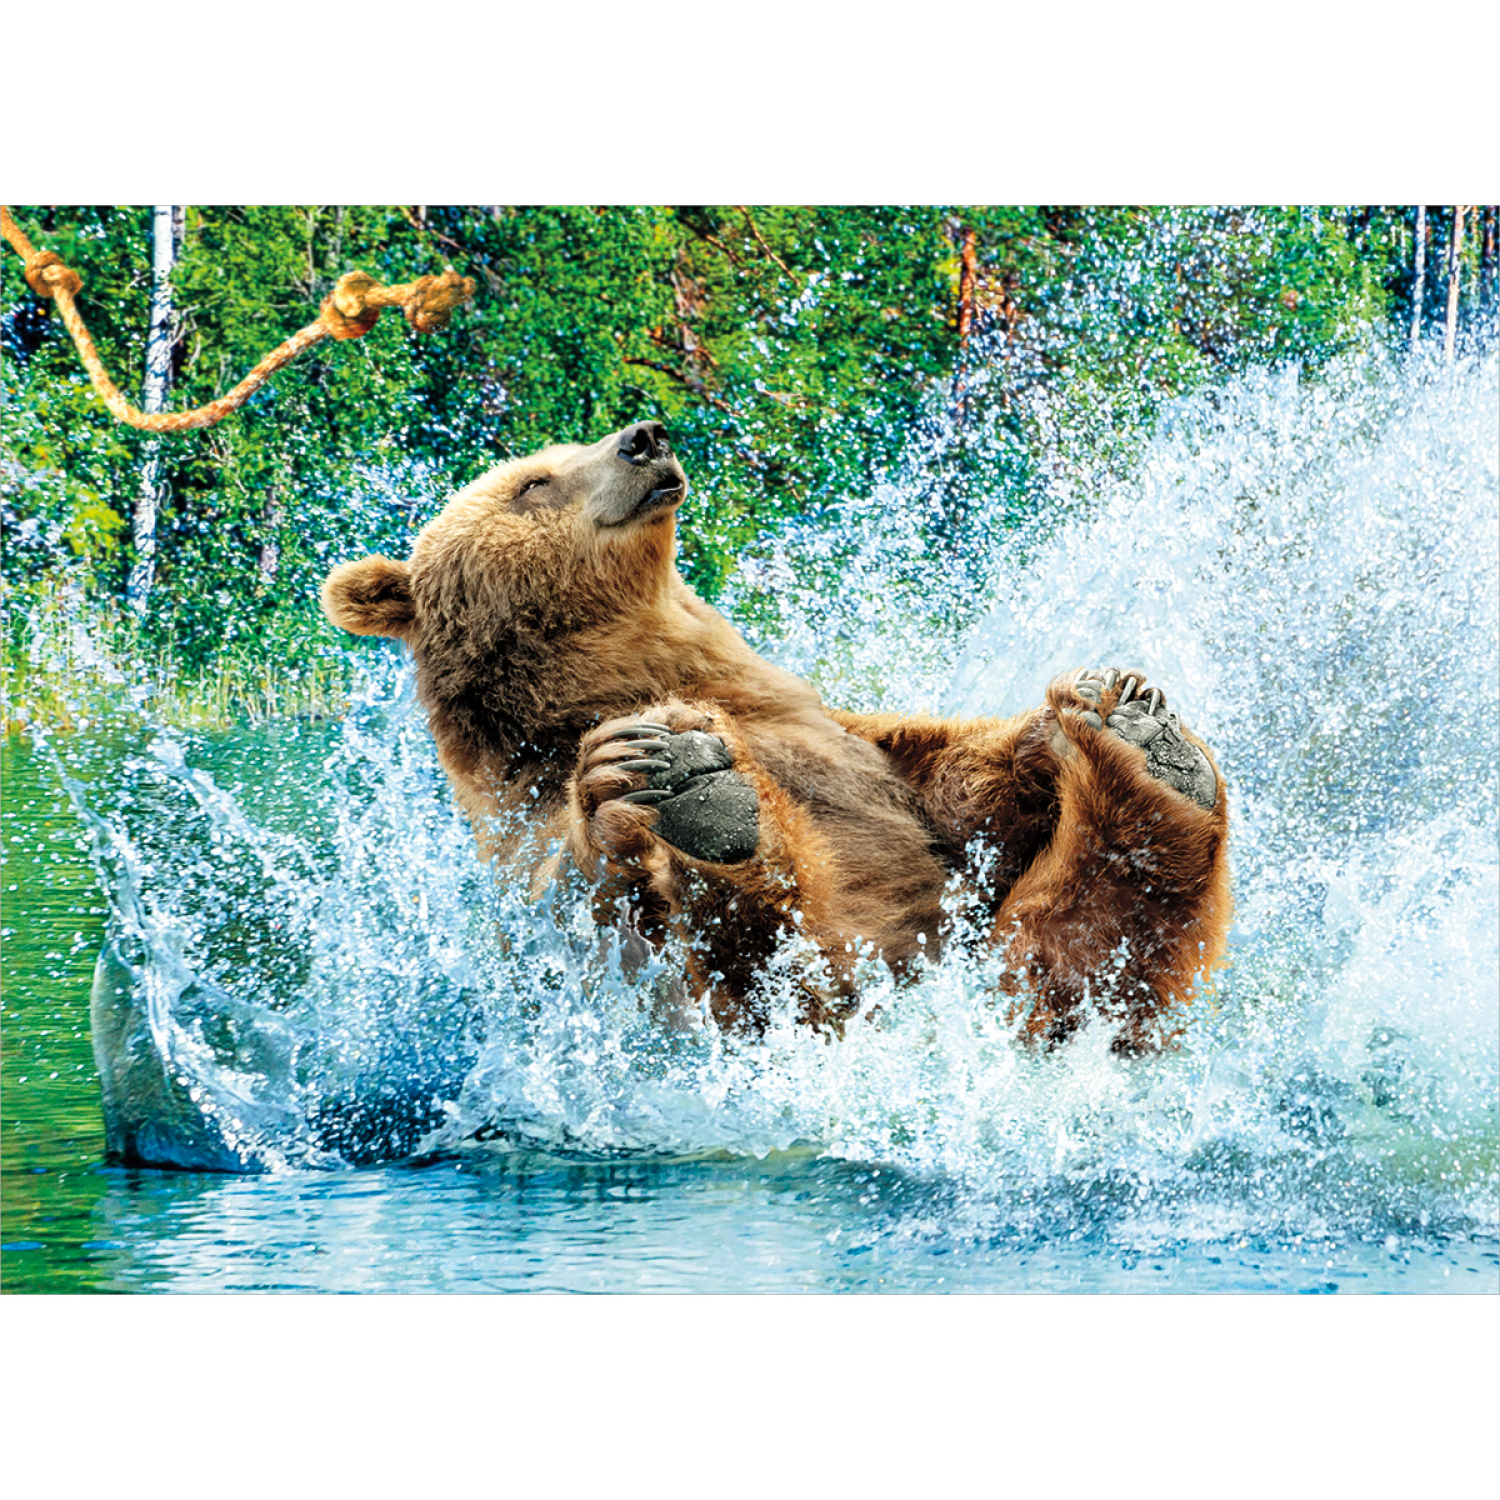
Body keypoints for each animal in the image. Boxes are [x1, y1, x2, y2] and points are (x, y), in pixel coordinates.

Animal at [321, 420, 1232, 1049]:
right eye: (532, 482)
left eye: (568, 448)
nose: (643, 438)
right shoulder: (536, 836)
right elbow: (626, 939)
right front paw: (672, 769)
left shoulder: (849, 747)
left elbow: (961, 802)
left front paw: (1062, 724)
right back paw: (706, 799)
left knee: (1091, 938)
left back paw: (1145, 745)